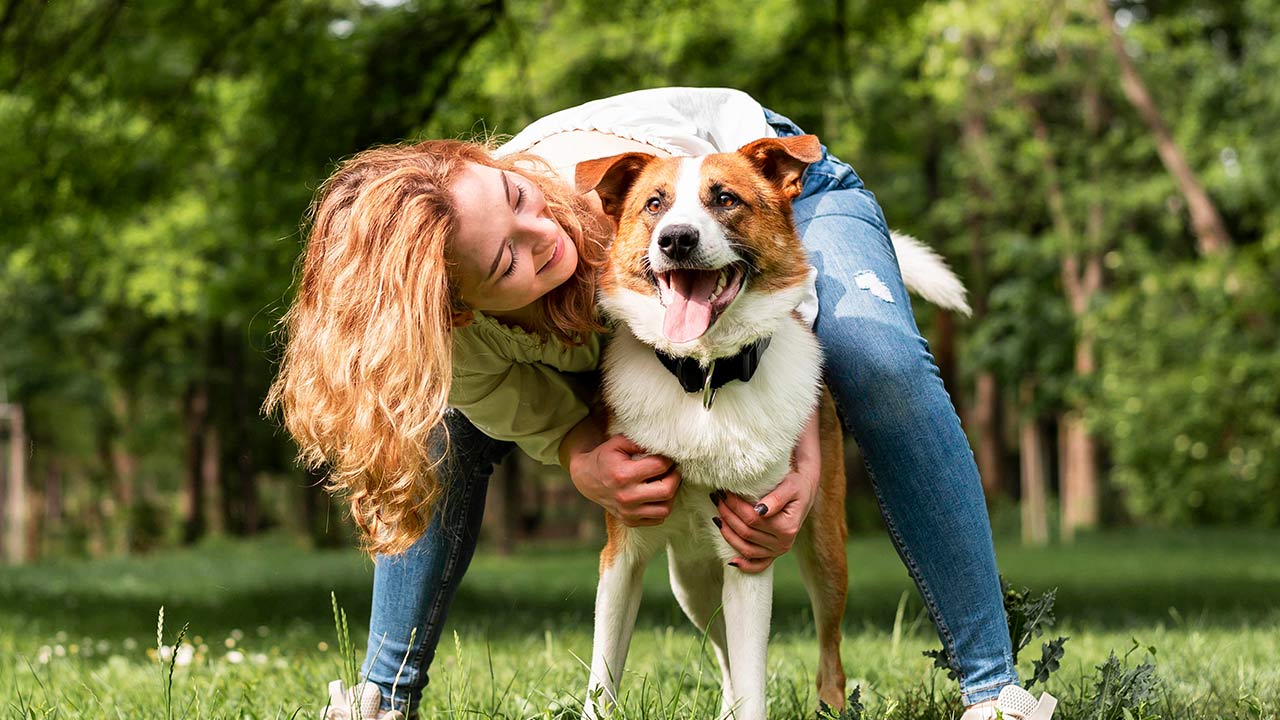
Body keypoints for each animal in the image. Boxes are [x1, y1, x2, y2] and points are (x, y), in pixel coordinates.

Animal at [576, 135, 962, 717]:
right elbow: (603, 676)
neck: (705, 377)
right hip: (691, 579)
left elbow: (755, 680)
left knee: (828, 659)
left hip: (824, 552)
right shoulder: (621, 552)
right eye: (654, 204)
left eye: (725, 199)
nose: (676, 239)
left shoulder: (752, 552)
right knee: (724, 657)